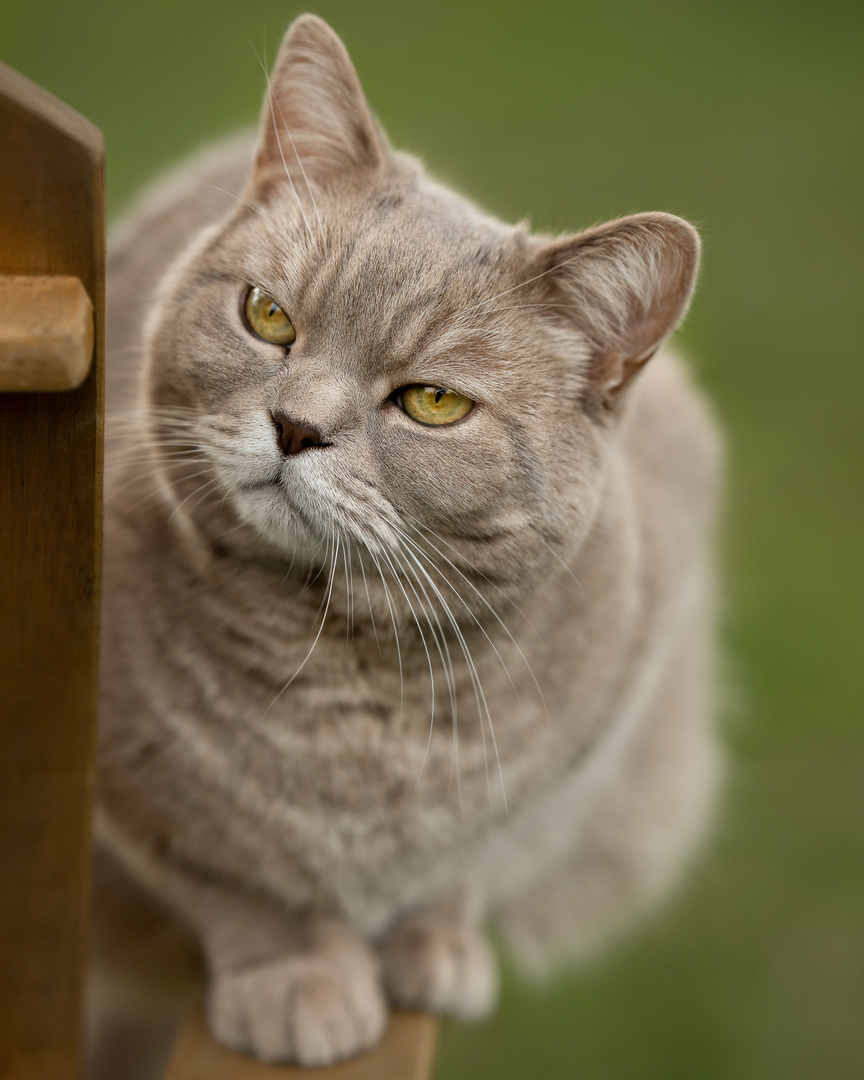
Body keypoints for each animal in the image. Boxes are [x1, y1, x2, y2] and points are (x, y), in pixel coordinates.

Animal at [96, 10, 721, 1071]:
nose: (295, 427)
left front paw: (437, 942)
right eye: (268, 316)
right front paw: (297, 973)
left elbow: (472, 853)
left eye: (432, 403)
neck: (352, 669)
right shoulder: (129, 787)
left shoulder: (589, 743)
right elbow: (233, 873)